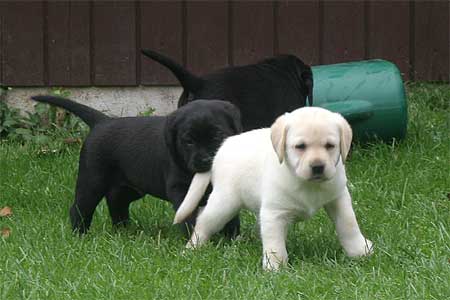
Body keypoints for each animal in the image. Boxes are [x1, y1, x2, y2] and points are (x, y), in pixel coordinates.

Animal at [30, 95, 243, 236]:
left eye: (218, 136)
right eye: (188, 141)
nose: (205, 160)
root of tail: (102, 122)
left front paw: (232, 237)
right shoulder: (180, 188)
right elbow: (189, 214)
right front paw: (195, 236)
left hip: (130, 188)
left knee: (116, 202)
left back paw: (123, 230)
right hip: (92, 180)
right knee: (80, 208)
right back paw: (79, 236)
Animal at [174, 106, 370, 270]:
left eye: (330, 146)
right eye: (300, 146)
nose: (318, 166)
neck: (306, 183)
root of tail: (220, 149)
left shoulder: (338, 199)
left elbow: (349, 224)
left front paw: (360, 250)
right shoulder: (274, 212)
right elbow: (274, 242)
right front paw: (274, 267)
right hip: (224, 204)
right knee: (203, 223)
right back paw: (191, 249)